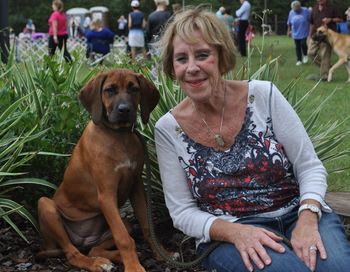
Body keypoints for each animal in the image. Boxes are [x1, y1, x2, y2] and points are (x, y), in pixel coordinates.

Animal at [34, 68, 161, 272]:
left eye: (134, 89)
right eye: (110, 90)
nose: (125, 110)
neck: (119, 135)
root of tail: (82, 240)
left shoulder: (137, 187)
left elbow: (146, 225)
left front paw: (161, 253)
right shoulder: (106, 195)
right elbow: (124, 238)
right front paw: (133, 267)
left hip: (121, 223)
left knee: (95, 248)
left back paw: (107, 259)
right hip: (46, 205)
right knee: (72, 253)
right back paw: (96, 263)